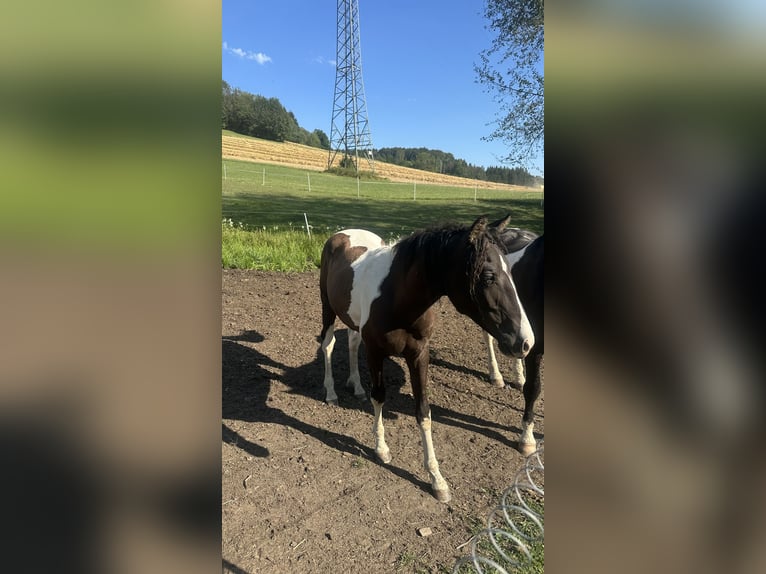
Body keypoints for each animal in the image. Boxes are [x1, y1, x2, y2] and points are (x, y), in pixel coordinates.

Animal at [319, 215, 535, 503]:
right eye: (488, 276)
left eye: (510, 270)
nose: (526, 342)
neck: (396, 296)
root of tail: (342, 234)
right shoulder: (375, 351)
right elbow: (379, 397)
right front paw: (381, 448)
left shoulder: (419, 355)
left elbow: (423, 412)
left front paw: (437, 480)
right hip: (328, 309)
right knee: (328, 345)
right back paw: (331, 392)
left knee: (352, 343)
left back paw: (356, 386)